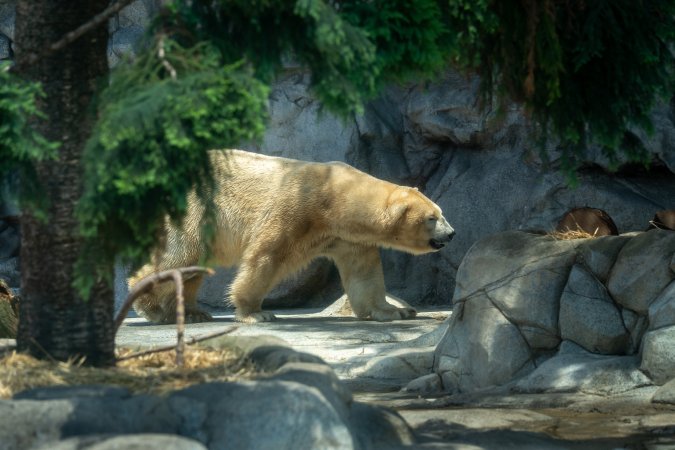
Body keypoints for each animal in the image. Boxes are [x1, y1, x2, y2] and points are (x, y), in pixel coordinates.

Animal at [128, 149, 455, 323]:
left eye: (441, 212)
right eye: (432, 218)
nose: (451, 233)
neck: (335, 197)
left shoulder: (348, 238)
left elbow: (365, 274)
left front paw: (396, 311)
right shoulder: (296, 208)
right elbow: (267, 256)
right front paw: (255, 313)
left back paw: (192, 312)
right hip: (195, 210)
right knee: (181, 256)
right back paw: (150, 307)